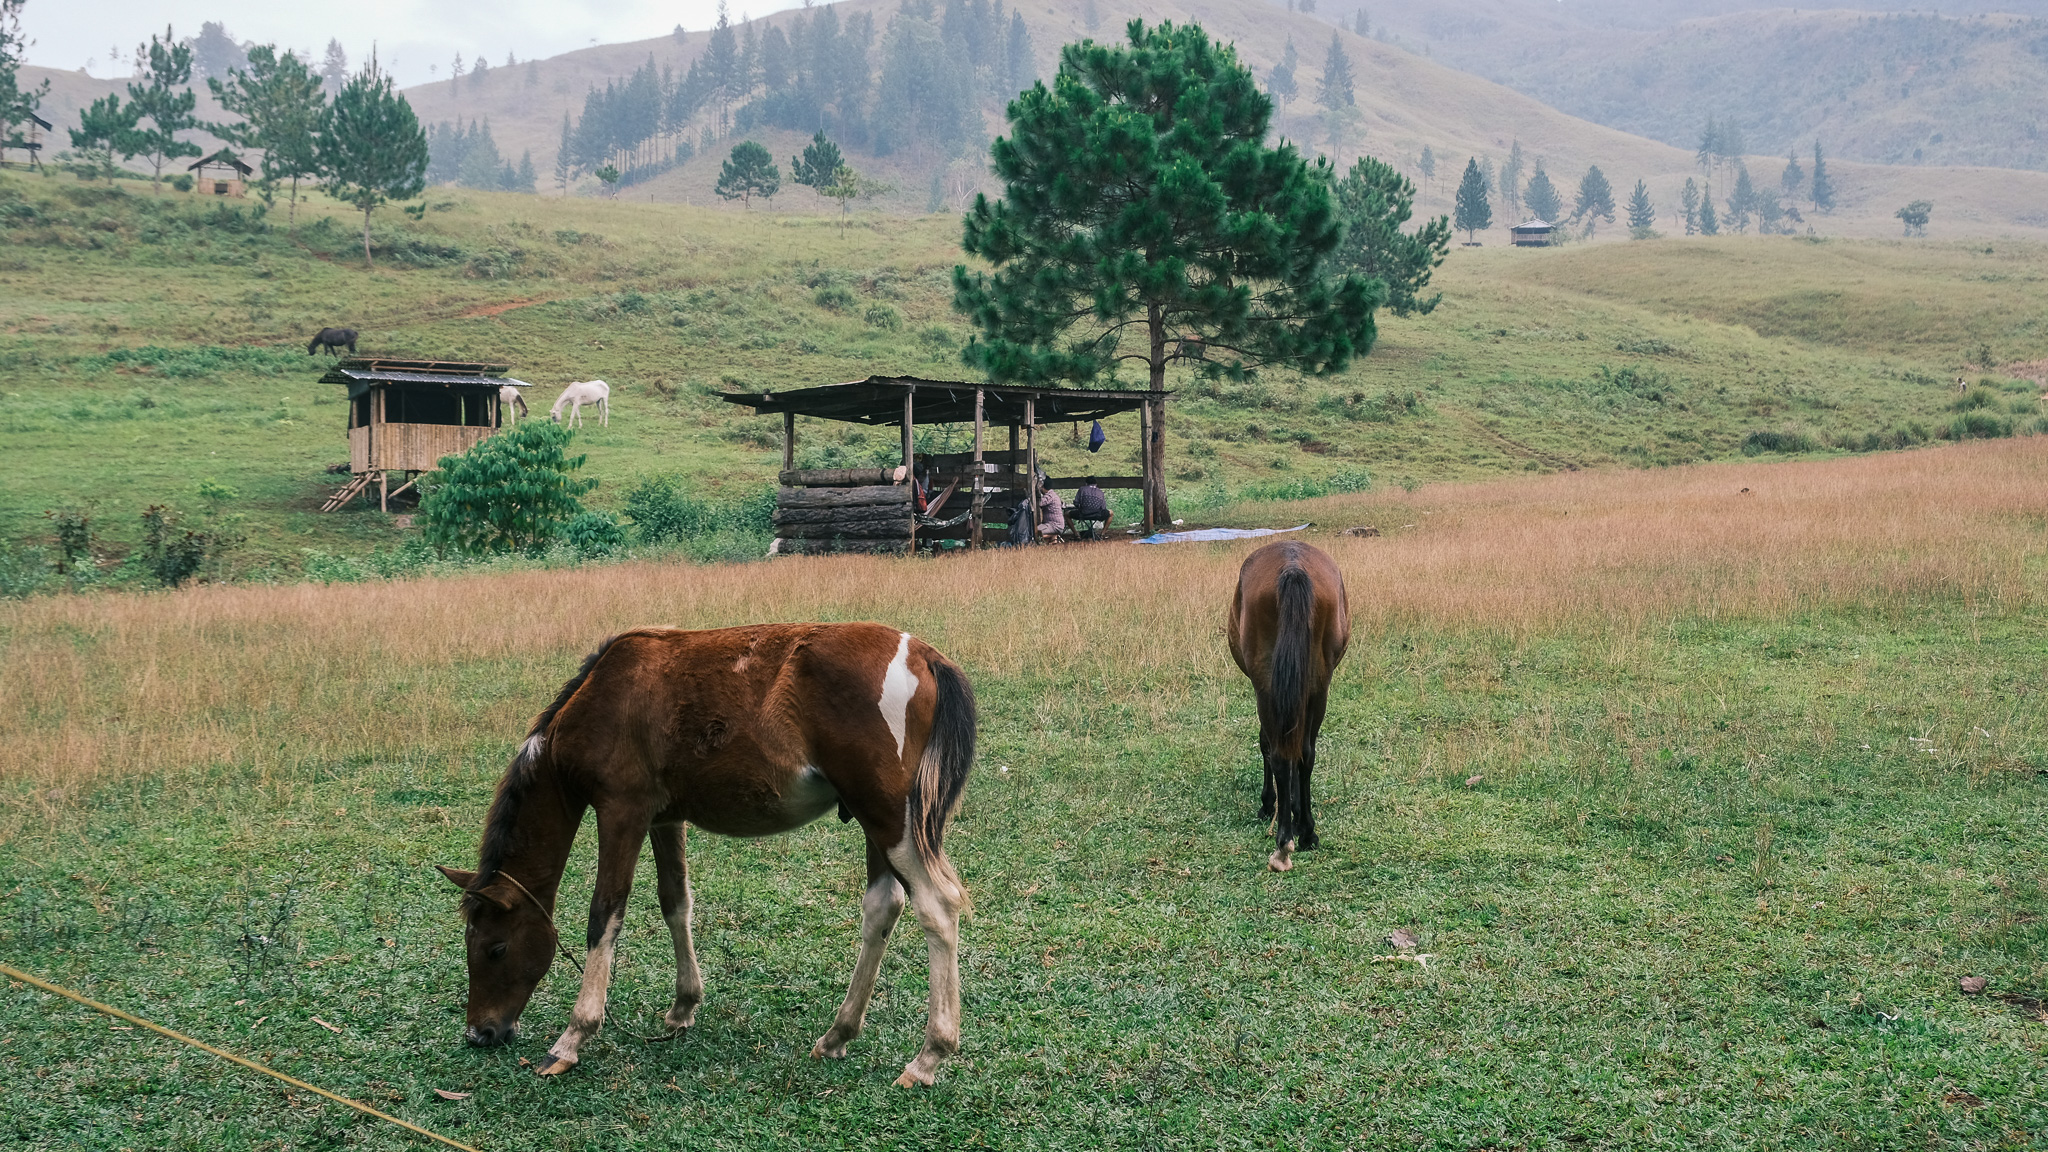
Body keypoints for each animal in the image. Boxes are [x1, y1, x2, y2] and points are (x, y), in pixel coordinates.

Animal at [438, 623, 974, 1082]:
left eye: (495, 948)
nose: (481, 1032)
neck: (604, 695)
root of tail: (922, 654)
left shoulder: (621, 812)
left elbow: (605, 914)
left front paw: (573, 1037)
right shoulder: (663, 818)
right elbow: (675, 901)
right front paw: (683, 1005)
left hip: (889, 820)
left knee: (937, 907)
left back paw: (928, 1056)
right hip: (874, 821)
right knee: (883, 907)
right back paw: (838, 1035)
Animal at [1220, 537, 1351, 869]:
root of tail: (1292, 568)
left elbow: (1267, 743)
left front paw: (1273, 803)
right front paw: (1291, 806)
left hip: (1267, 686)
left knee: (1278, 750)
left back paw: (1285, 837)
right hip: (1317, 686)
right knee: (1304, 753)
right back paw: (1303, 832)